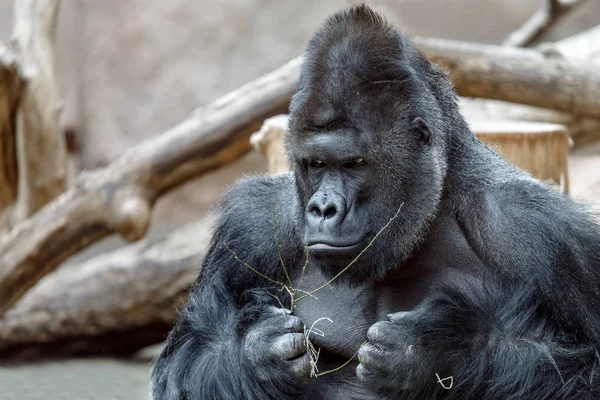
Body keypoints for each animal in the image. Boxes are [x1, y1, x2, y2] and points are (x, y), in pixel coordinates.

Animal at [150, 4, 600, 398]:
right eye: (316, 164)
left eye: (353, 164)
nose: (323, 209)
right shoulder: (253, 225)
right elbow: (180, 364)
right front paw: (257, 353)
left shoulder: (539, 229)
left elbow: (589, 371)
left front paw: (440, 353)